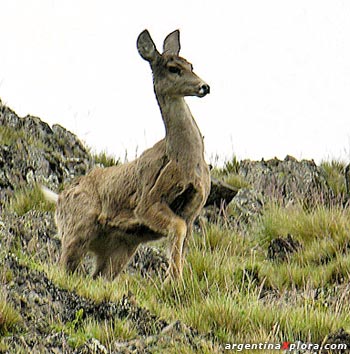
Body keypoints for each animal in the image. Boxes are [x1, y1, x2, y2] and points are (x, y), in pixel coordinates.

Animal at [43, 29, 211, 280]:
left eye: (191, 64)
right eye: (173, 68)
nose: (204, 87)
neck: (185, 158)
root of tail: (59, 198)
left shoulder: (193, 210)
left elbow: (183, 244)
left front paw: (177, 279)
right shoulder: (148, 201)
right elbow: (176, 229)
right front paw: (173, 280)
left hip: (120, 248)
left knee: (98, 275)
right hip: (77, 229)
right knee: (64, 266)